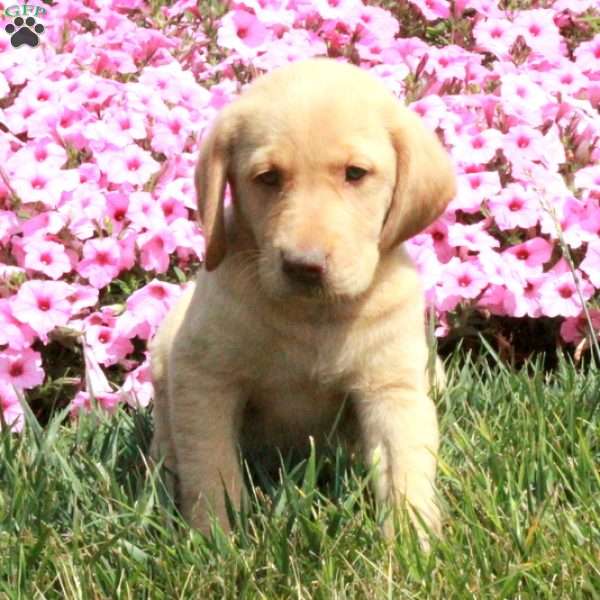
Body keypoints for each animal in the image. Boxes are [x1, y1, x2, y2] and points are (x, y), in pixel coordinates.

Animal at [150, 57, 454, 544]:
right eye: (268, 178)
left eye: (355, 173)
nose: (303, 266)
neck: (313, 317)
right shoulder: (205, 376)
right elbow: (211, 468)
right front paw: (216, 540)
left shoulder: (392, 387)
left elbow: (405, 470)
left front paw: (412, 545)